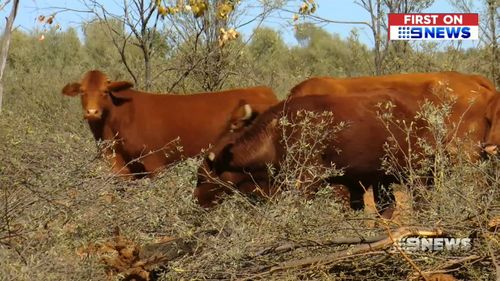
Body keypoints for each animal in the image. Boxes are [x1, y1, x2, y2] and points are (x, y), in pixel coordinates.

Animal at [62, 70, 280, 177]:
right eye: (82, 92)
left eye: (104, 92)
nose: (92, 112)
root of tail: (262, 90)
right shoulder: (120, 166)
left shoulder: (154, 162)